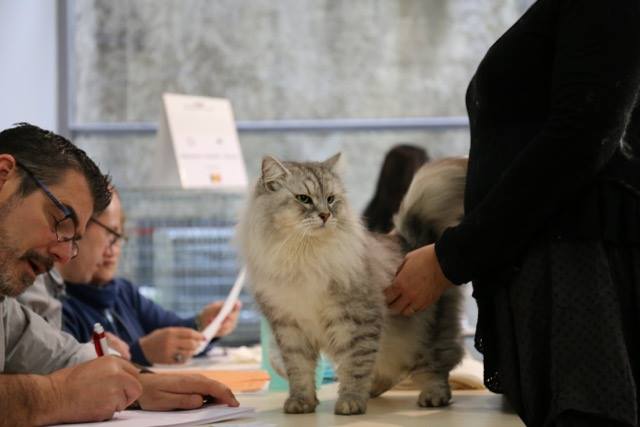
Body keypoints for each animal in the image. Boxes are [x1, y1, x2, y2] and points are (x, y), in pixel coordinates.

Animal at [237, 153, 467, 415]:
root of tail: (412, 240)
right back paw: (374, 390)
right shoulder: (290, 329)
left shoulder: (355, 321)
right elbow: (300, 372)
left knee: (437, 367)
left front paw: (350, 403)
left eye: (330, 199)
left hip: (430, 337)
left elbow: (354, 367)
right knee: (392, 370)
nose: (325, 215)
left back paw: (432, 396)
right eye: (303, 199)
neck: (304, 256)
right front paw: (301, 403)